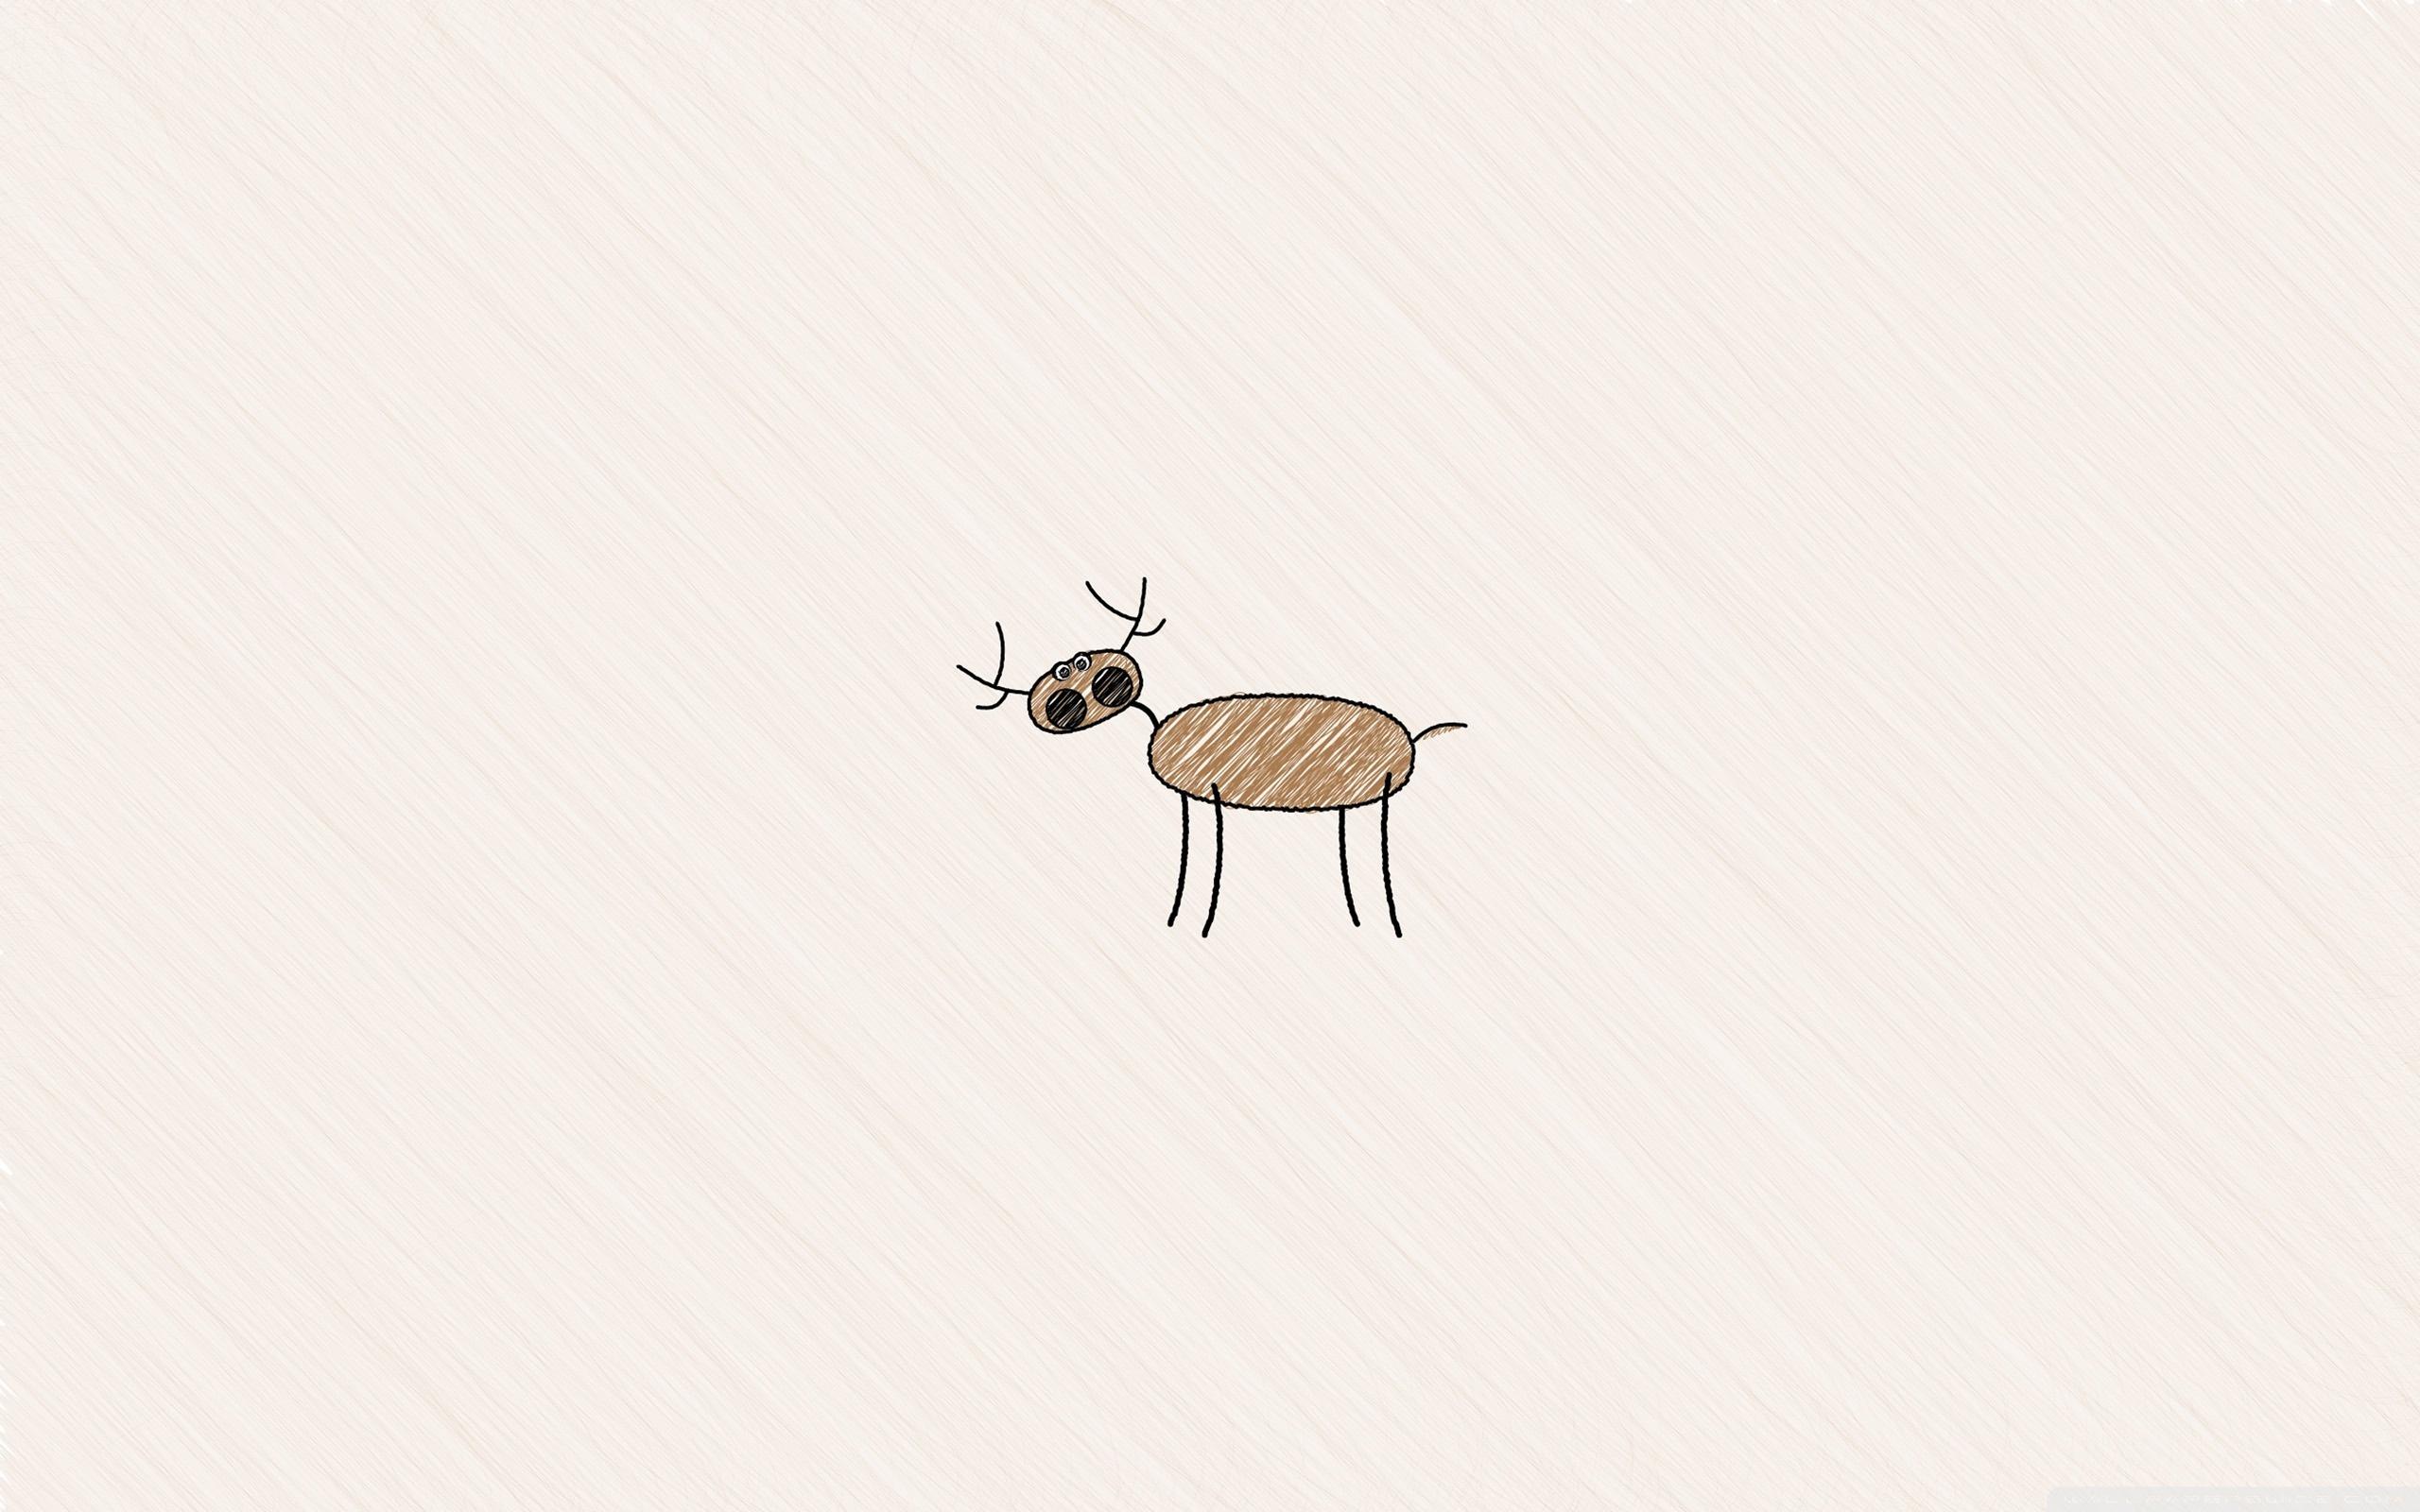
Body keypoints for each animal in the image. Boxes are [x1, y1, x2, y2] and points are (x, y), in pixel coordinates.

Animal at [956, 578, 1465, 937]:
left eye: (1102, 679)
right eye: (1062, 700)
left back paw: (1386, 920)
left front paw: (1196, 921)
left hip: (1378, 795)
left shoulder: (1211, 795)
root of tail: (1411, 741)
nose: (1069, 680)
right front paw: (1184, 918)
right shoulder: (1195, 797)